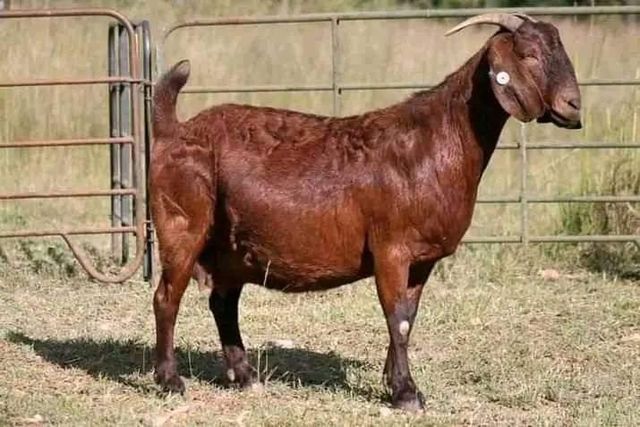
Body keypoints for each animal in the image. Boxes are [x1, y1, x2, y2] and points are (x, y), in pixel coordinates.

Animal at [150, 13, 581, 411]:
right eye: (528, 54)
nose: (573, 105)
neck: (435, 142)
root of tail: (175, 130)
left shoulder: (422, 259)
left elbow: (409, 316)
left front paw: (396, 382)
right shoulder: (391, 248)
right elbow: (397, 317)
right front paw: (406, 394)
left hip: (231, 248)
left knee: (223, 302)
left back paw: (245, 376)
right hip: (182, 223)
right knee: (167, 297)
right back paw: (170, 380)